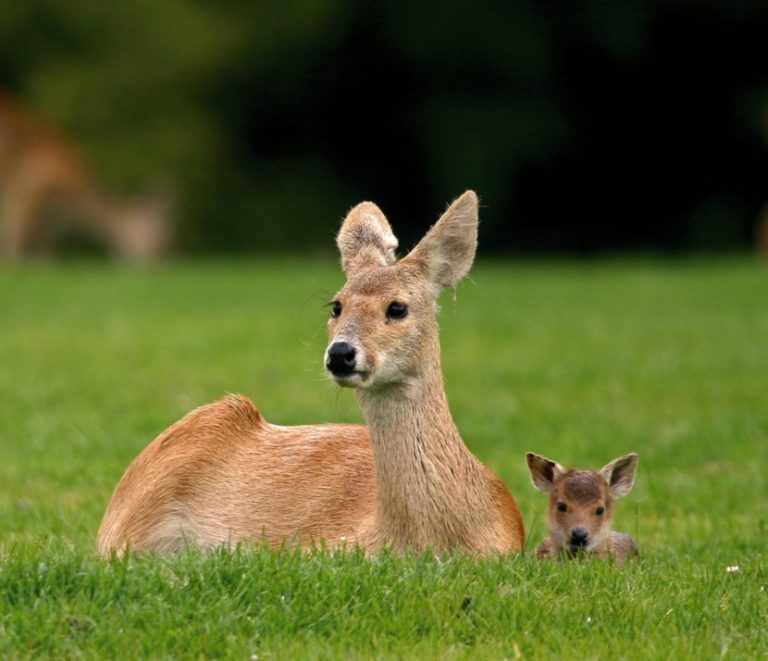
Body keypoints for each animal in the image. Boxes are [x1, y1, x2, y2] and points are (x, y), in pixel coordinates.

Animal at [0, 92, 171, 260]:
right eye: (158, 243)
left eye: (164, 243)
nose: (161, 261)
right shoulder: (26, 190)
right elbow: (15, 237)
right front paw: (14, 262)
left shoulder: (52, 214)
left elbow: (43, 246)